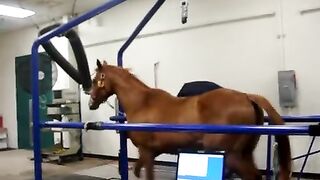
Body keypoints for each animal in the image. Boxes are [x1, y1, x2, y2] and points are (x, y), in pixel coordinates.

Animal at [89, 60, 292, 180]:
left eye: (96, 79)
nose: (91, 102)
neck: (142, 103)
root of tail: (246, 96)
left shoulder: (146, 151)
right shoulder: (152, 152)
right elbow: (137, 168)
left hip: (232, 156)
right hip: (245, 153)